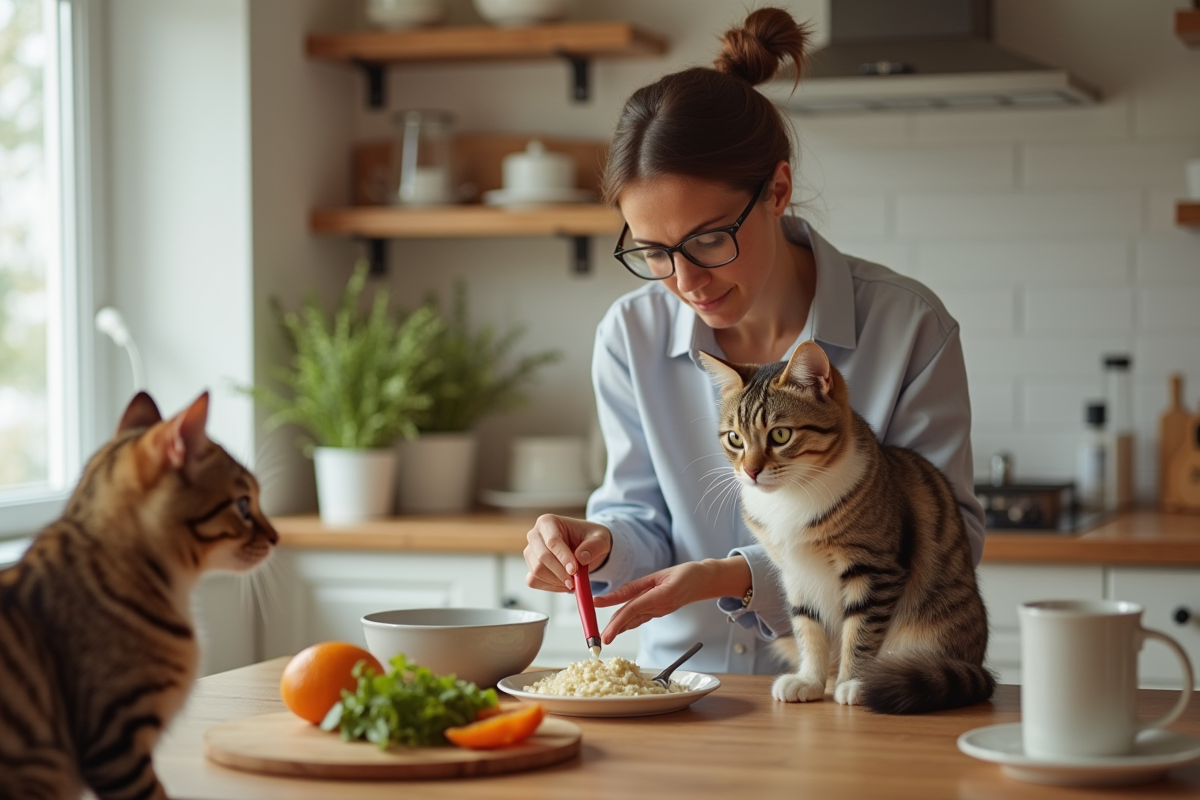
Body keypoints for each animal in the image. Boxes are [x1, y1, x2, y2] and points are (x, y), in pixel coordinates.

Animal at [696, 340, 993, 714]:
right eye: (735, 438)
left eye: (780, 434)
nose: (750, 471)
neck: (791, 495)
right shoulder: (796, 574)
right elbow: (809, 629)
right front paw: (810, 680)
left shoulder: (874, 568)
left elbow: (861, 632)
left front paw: (854, 682)